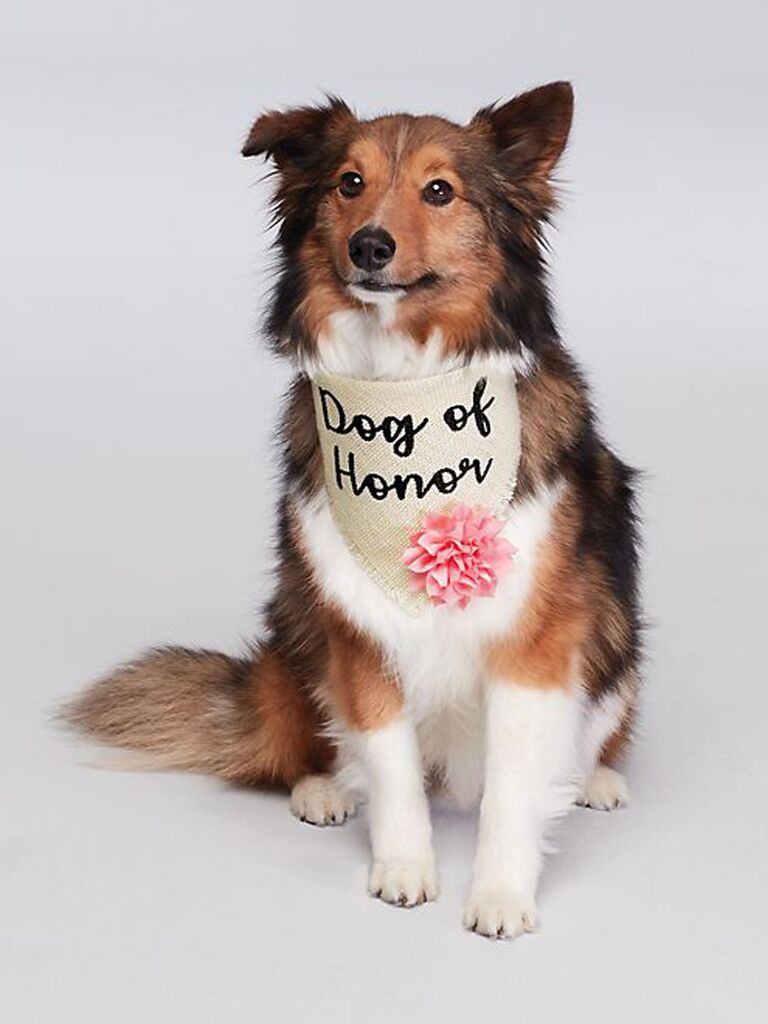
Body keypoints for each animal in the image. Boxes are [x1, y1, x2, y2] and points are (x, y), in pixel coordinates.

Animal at [64, 83, 643, 937]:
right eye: (348, 182)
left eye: (439, 190)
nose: (370, 247)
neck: (403, 395)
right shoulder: (356, 627)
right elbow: (390, 763)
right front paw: (403, 868)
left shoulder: (535, 639)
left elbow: (513, 784)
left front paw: (501, 894)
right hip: (294, 633)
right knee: (312, 743)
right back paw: (325, 787)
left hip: (617, 635)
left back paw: (594, 780)